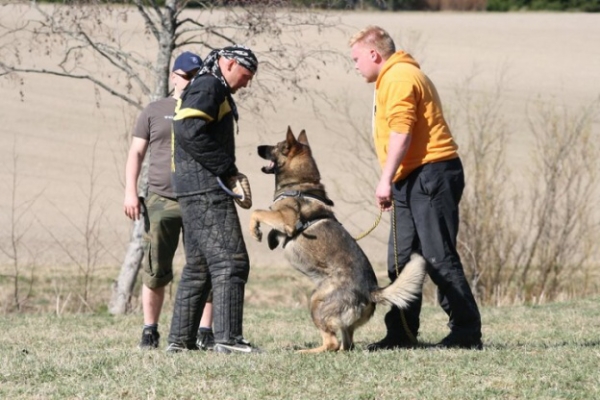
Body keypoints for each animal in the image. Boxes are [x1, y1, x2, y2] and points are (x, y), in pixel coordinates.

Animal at [248, 127, 426, 354]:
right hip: (339, 321)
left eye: (278, 146)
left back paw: (306, 352)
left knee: (331, 343)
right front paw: (269, 239)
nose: (258, 147)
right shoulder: (284, 223)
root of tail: (370, 291)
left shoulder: (287, 219)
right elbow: (273, 229)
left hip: (316, 300)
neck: (301, 183)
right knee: (346, 345)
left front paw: (255, 231)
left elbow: (257, 211)